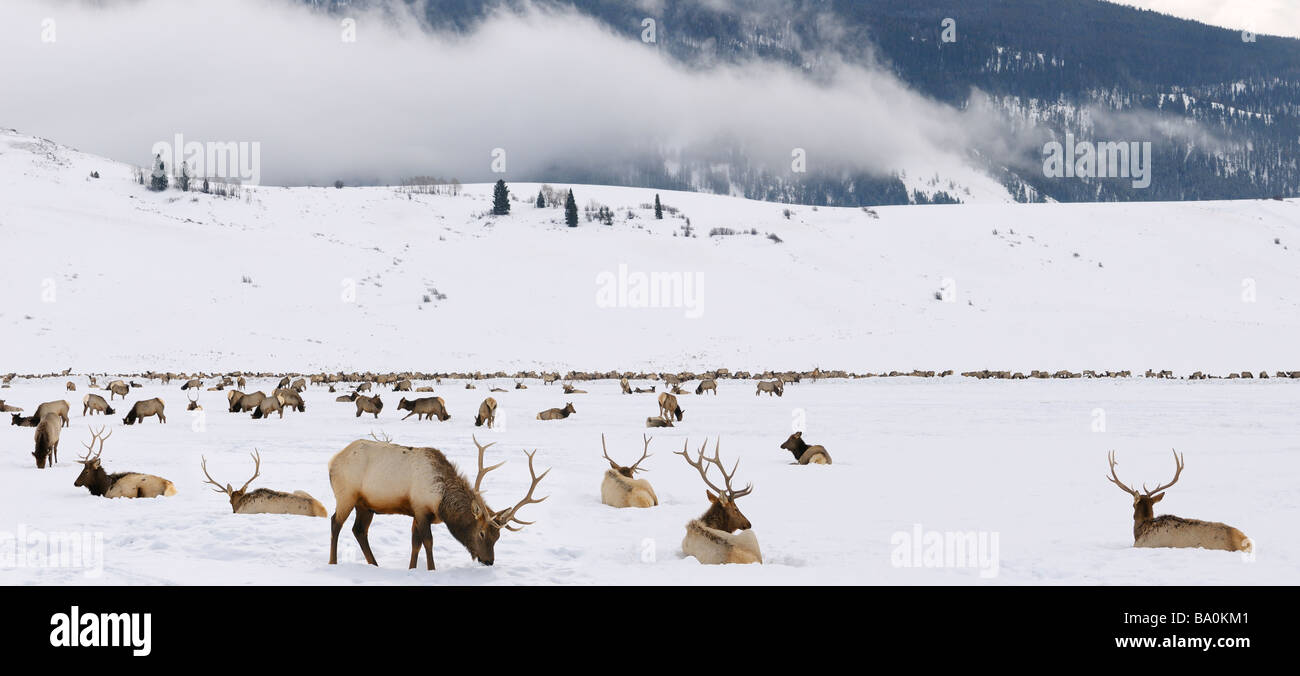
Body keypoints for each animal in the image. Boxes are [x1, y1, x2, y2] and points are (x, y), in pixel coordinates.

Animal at [330, 434, 548, 569]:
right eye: (482, 533)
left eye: (498, 537)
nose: (489, 561)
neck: (441, 501)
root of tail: (332, 462)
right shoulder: (421, 509)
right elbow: (428, 542)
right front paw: (431, 569)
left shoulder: (417, 512)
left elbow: (415, 543)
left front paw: (411, 569)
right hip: (346, 495)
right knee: (336, 523)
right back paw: (333, 562)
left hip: (365, 505)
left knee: (359, 530)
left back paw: (374, 564)